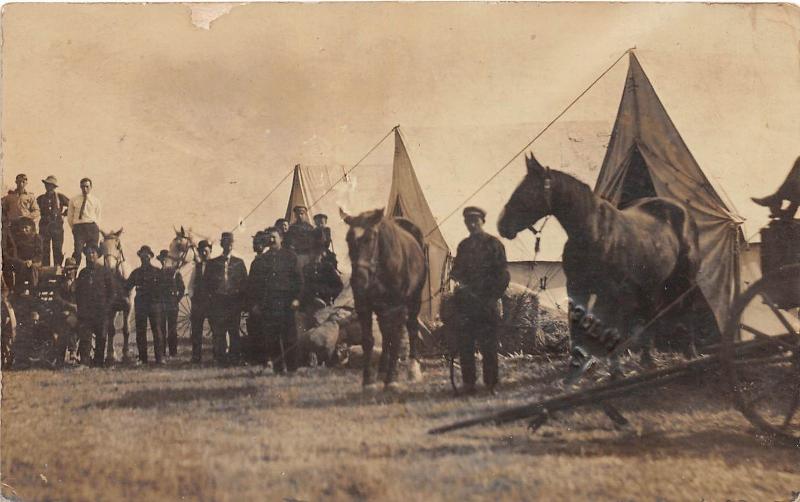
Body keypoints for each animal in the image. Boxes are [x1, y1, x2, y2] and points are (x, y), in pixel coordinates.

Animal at [340, 206, 428, 390]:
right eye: (348, 239)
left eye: (370, 238)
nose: (358, 280)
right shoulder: (364, 307)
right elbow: (368, 341)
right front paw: (368, 381)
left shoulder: (398, 307)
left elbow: (396, 339)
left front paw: (393, 379)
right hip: (382, 309)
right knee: (385, 333)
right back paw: (382, 370)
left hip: (414, 300)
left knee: (411, 327)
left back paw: (412, 370)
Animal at [496, 153, 696, 380]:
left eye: (527, 191)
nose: (502, 225)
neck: (593, 233)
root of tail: (682, 210)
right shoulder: (577, 289)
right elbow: (576, 328)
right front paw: (575, 370)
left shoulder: (610, 293)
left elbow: (611, 327)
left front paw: (616, 371)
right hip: (650, 284)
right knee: (649, 314)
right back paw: (648, 359)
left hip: (685, 277)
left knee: (686, 309)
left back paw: (688, 352)